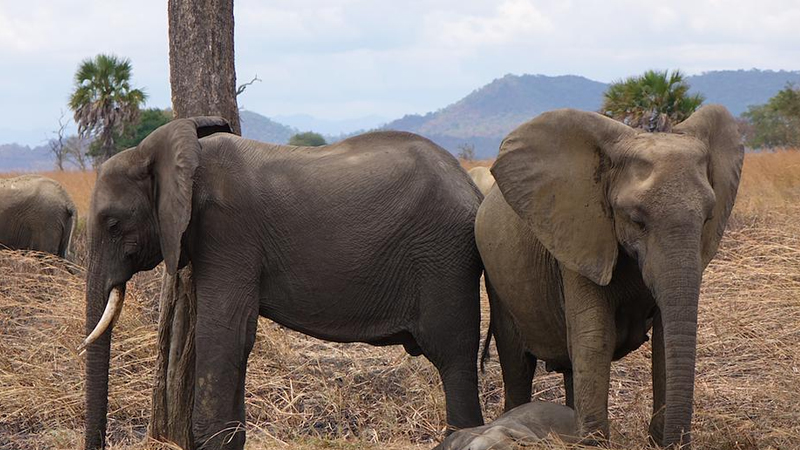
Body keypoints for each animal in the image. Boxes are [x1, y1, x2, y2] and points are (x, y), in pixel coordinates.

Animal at [78, 117, 484, 450]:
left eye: (113, 224)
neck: (164, 152)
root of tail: (472, 187)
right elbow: (235, 336)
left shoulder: (228, 230)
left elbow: (227, 331)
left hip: (444, 258)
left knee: (453, 356)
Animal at [476, 104, 744, 446]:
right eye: (636, 220)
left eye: (709, 217)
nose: (673, 442)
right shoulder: (579, 233)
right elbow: (595, 337)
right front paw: (594, 444)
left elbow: (663, 341)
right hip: (498, 285)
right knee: (518, 366)